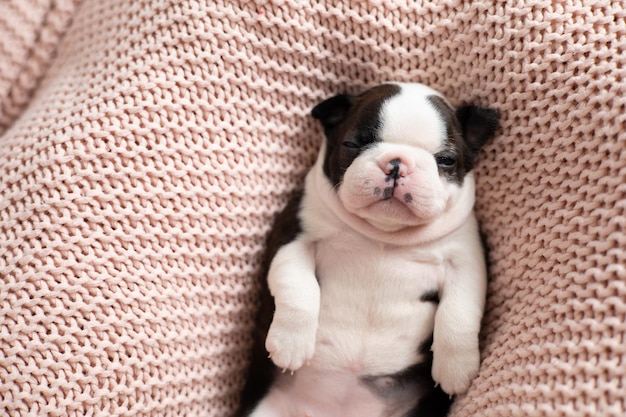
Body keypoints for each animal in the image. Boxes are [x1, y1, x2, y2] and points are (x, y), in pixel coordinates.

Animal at [238, 82, 498, 416]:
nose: (397, 164)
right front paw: (290, 344)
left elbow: (459, 312)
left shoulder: (465, 260)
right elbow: (298, 288)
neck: (384, 234)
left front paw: (457, 369)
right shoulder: (293, 236)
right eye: (352, 144)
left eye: (447, 160)